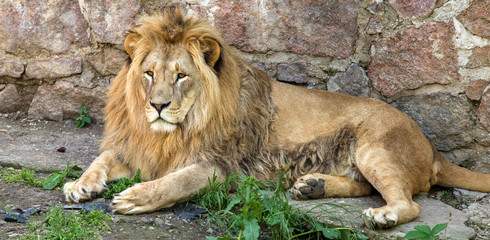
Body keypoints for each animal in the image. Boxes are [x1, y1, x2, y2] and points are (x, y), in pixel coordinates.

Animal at [63, 8, 488, 228]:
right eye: (149, 73)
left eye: (181, 75)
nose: (158, 106)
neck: (168, 133)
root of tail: (433, 151)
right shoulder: (137, 148)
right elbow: (101, 159)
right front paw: (79, 185)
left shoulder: (219, 167)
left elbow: (174, 183)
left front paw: (134, 197)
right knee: (366, 186)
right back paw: (312, 186)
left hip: (374, 146)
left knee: (408, 203)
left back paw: (381, 216)